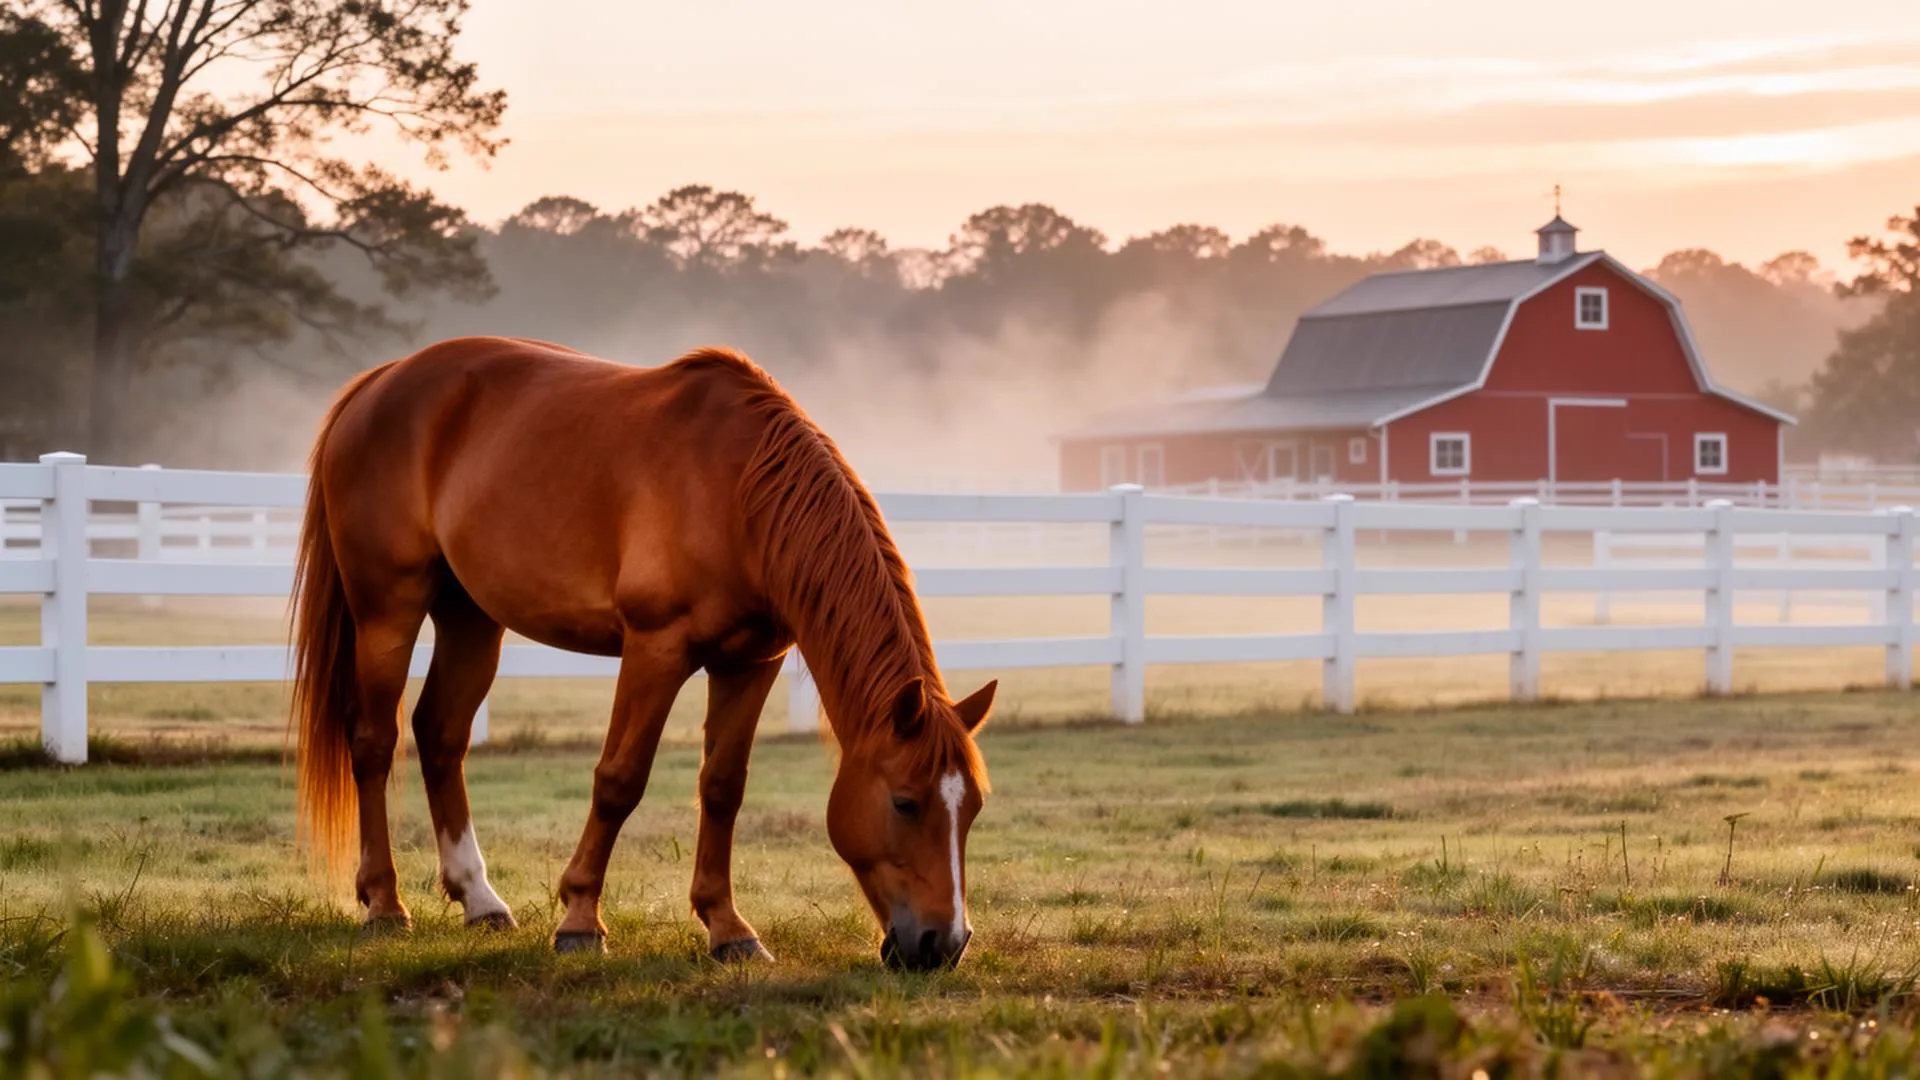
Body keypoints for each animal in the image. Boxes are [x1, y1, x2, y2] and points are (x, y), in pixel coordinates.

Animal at [288, 336, 995, 970]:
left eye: (973, 808)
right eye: (905, 802)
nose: (944, 945)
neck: (739, 490)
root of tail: (380, 381)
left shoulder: (750, 663)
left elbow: (723, 787)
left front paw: (728, 929)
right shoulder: (656, 648)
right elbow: (619, 780)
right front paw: (579, 920)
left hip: (470, 617)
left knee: (440, 735)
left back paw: (480, 900)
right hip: (388, 607)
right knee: (374, 741)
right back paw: (384, 905)